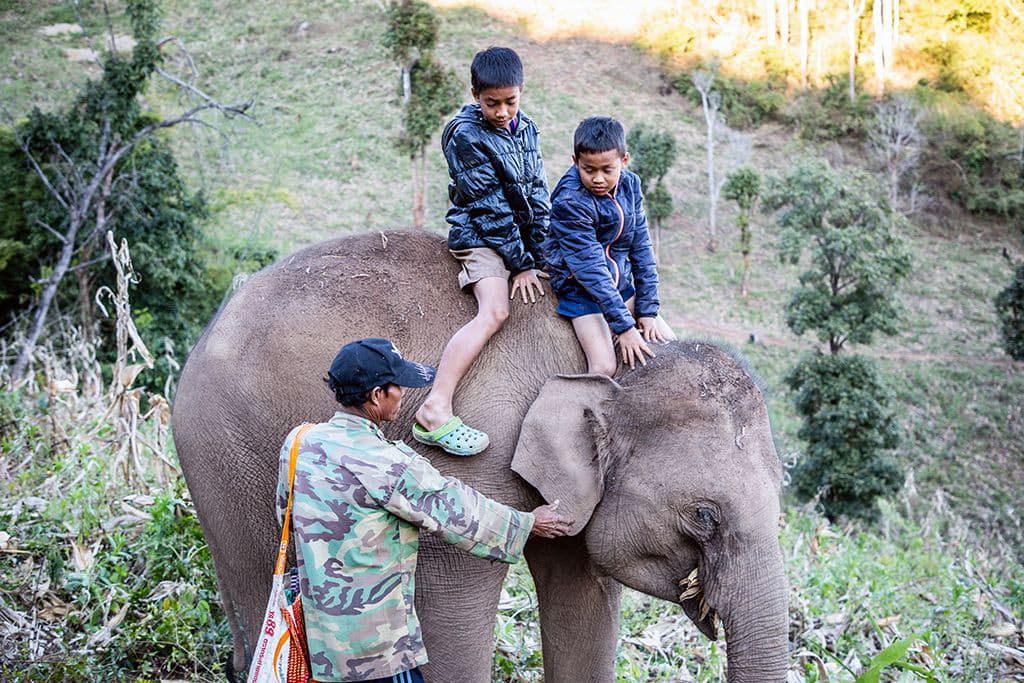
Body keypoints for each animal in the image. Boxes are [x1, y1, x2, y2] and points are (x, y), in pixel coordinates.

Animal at [172, 230, 788, 682]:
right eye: (704, 516)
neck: (611, 361)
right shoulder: (481, 446)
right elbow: (451, 594)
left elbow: (584, 593)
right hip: (224, 454)